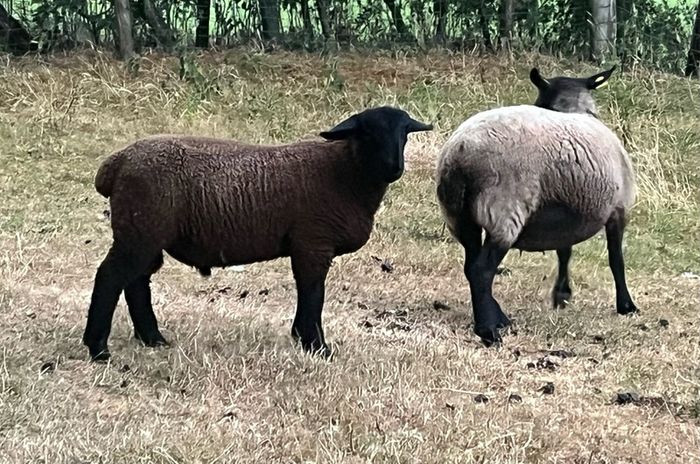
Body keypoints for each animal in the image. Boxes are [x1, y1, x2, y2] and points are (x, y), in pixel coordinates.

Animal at [82, 106, 433, 361]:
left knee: (136, 282)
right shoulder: (313, 243)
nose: (394, 167)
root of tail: (114, 165)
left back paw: (152, 339)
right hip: (140, 229)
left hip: (146, 232)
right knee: (111, 277)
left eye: (404, 134)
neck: (344, 172)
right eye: (368, 133)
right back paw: (98, 348)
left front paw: (303, 339)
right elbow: (313, 293)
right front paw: (316, 346)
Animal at [436, 65, 638, 346]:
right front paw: (626, 306)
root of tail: (460, 154)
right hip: (504, 212)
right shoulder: (618, 211)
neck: (573, 109)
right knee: (481, 270)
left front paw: (562, 295)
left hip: (460, 217)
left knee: (470, 266)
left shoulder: (567, 214)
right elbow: (616, 260)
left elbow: (565, 252)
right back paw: (489, 331)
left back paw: (498, 318)